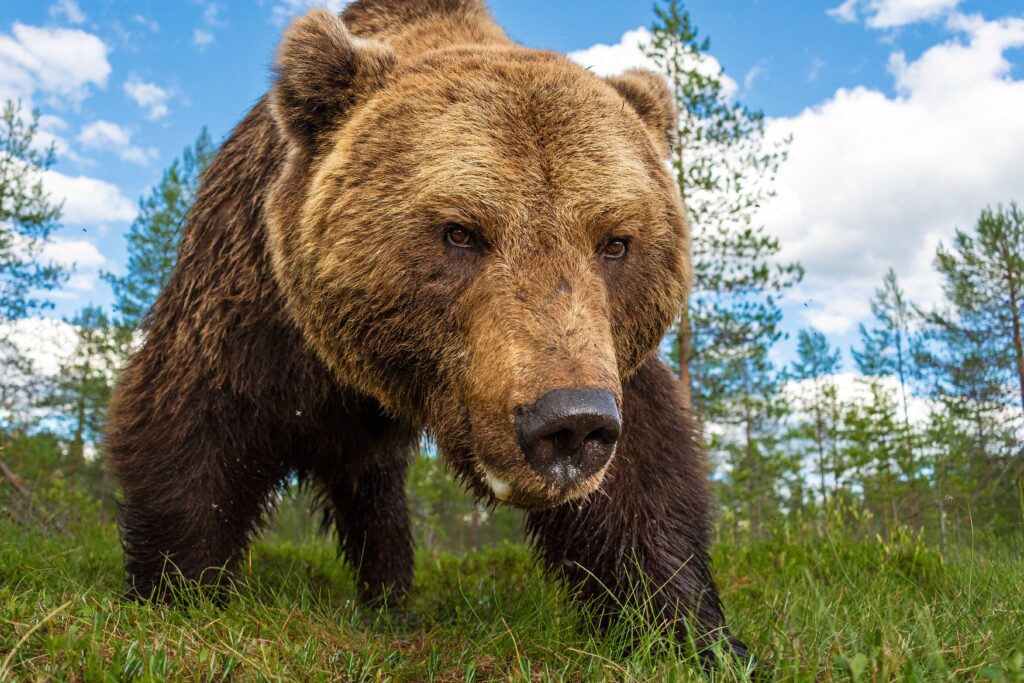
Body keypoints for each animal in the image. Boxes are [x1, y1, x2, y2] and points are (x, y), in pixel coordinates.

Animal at [105, 0, 749, 663]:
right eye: (460, 232)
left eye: (616, 242)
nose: (568, 422)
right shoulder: (253, 303)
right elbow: (193, 424)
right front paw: (179, 592)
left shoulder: (609, 354)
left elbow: (642, 481)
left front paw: (690, 631)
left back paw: (389, 594)